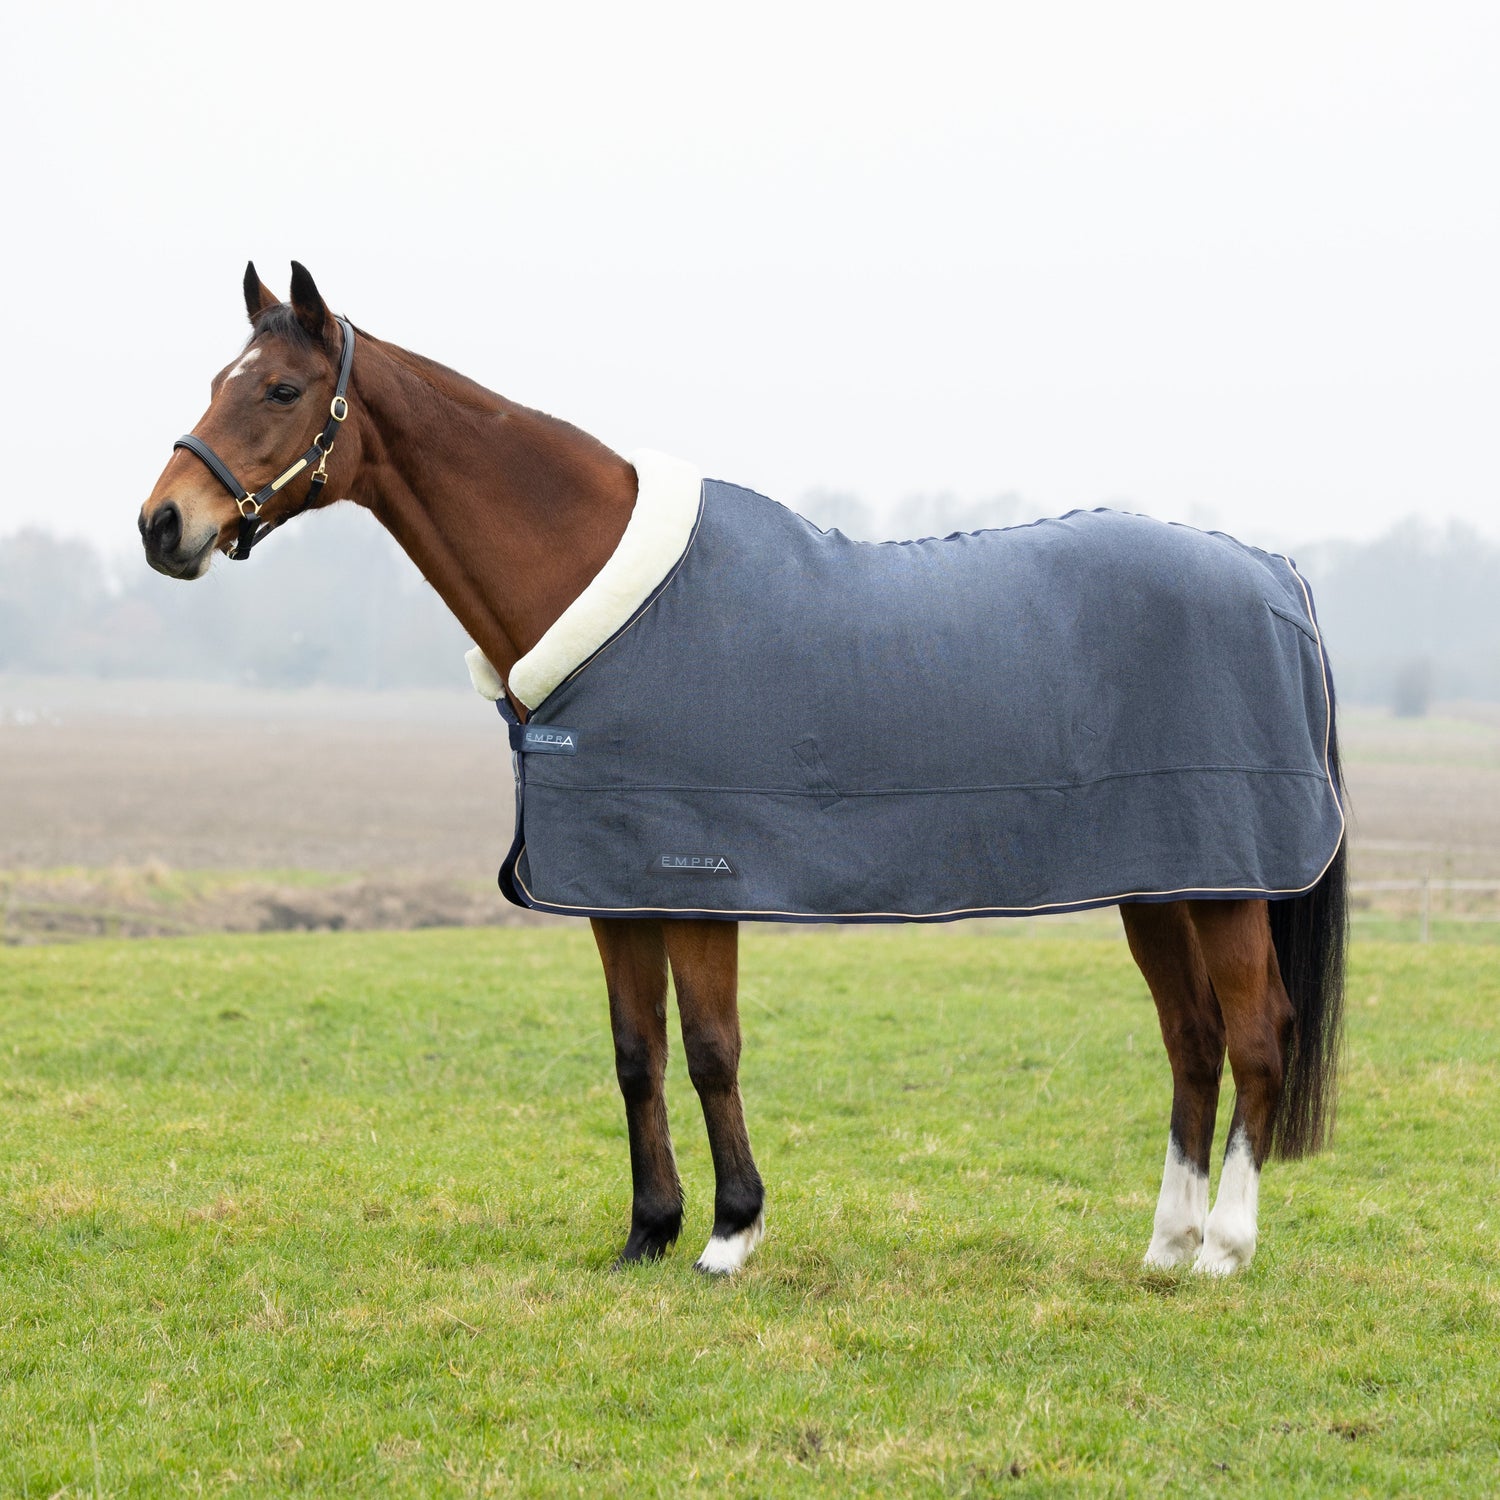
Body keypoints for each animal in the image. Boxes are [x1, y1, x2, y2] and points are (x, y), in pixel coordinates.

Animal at [139, 263, 1347, 1277]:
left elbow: (712, 1048)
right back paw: (1164, 1247)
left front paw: (730, 1234)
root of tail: (1274, 572)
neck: (600, 588)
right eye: (218, 381)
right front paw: (648, 1232)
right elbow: (637, 1054)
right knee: (1192, 1041)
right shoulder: (616, 885)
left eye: (282, 389)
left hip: (1229, 884)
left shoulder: (696, 875)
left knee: (1254, 1036)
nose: (163, 525)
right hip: (1164, 881)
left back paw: (1224, 1250)